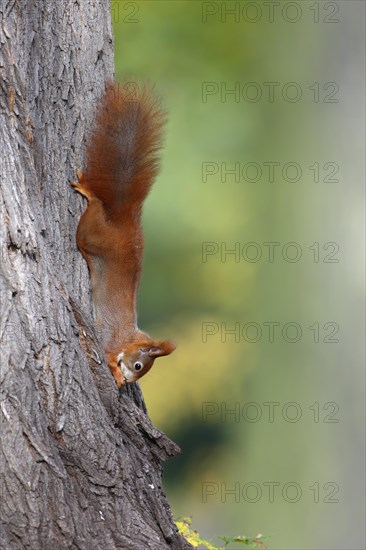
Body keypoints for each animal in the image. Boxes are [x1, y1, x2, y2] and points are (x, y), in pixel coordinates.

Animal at [71, 84, 176, 390]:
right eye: (139, 365)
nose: (129, 380)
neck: (129, 338)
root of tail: (124, 219)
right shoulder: (109, 341)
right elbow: (107, 358)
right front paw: (116, 377)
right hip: (92, 234)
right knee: (93, 213)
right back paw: (89, 192)